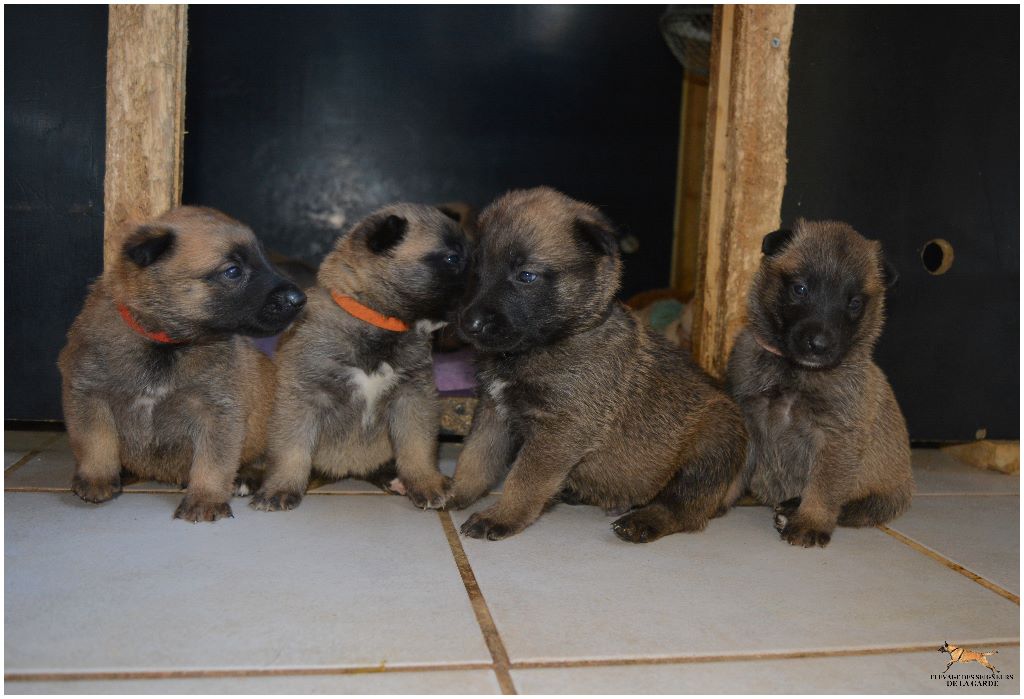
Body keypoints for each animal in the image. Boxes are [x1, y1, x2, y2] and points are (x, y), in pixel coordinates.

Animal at [57, 204, 303, 521]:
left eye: (264, 259)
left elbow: (213, 461)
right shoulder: (88, 392)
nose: (300, 298)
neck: (165, 344)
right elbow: (95, 441)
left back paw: (247, 479)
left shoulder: (217, 410)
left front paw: (205, 499)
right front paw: (96, 479)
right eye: (233, 271)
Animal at [251, 204, 468, 511]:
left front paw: (426, 482)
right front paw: (280, 488)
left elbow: (417, 445)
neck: (376, 321)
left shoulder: (413, 397)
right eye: (452, 258)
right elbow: (292, 449)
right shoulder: (303, 398)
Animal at [448, 188, 745, 544]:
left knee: (685, 510)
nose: (469, 324)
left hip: (710, 445)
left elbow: (523, 479)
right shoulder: (493, 412)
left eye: (526, 275)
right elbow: (474, 456)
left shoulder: (559, 429)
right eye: (476, 271)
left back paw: (642, 522)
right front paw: (455, 491)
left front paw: (502, 516)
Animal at [724, 219, 917, 548]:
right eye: (800, 289)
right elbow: (735, 471)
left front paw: (810, 522)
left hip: (880, 498)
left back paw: (790, 509)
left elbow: (824, 488)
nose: (819, 345)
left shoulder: (836, 436)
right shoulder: (748, 416)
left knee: (852, 507)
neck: (794, 372)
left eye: (854, 303)